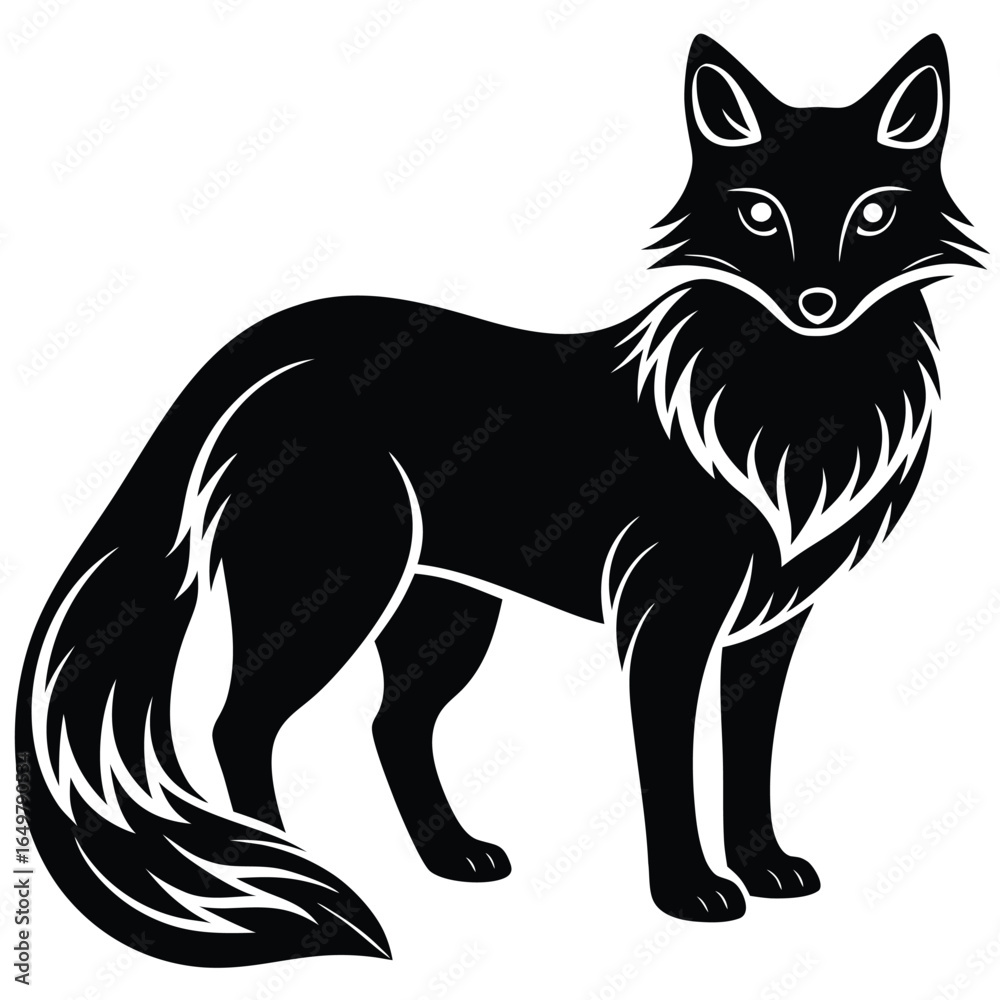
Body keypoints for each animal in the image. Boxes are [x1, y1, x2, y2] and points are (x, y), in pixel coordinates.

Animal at [15, 33, 983, 967]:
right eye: (759, 214)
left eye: (873, 213)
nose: (817, 301)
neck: (798, 410)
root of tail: (265, 339)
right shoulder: (665, 620)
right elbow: (669, 769)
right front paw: (691, 894)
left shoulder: (771, 625)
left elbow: (748, 762)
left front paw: (766, 868)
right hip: (333, 593)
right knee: (237, 725)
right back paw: (292, 875)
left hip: (449, 616)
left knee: (392, 726)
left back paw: (449, 856)